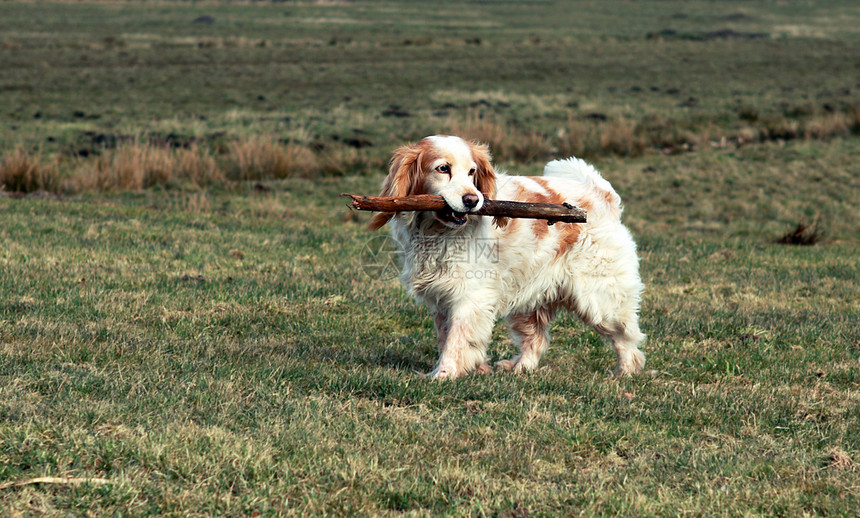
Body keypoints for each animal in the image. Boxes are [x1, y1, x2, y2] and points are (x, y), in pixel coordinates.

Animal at [370, 136, 644, 380]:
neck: (437, 233)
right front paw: (474, 369)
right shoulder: (441, 298)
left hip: (601, 299)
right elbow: (446, 338)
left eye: (472, 172)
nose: (472, 200)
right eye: (443, 168)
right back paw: (519, 368)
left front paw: (444, 374)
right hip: (529, 301)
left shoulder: (469, 297)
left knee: (627, 338)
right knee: (536, 339)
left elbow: (456, 341)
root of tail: (600, 193)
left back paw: (625, 372)